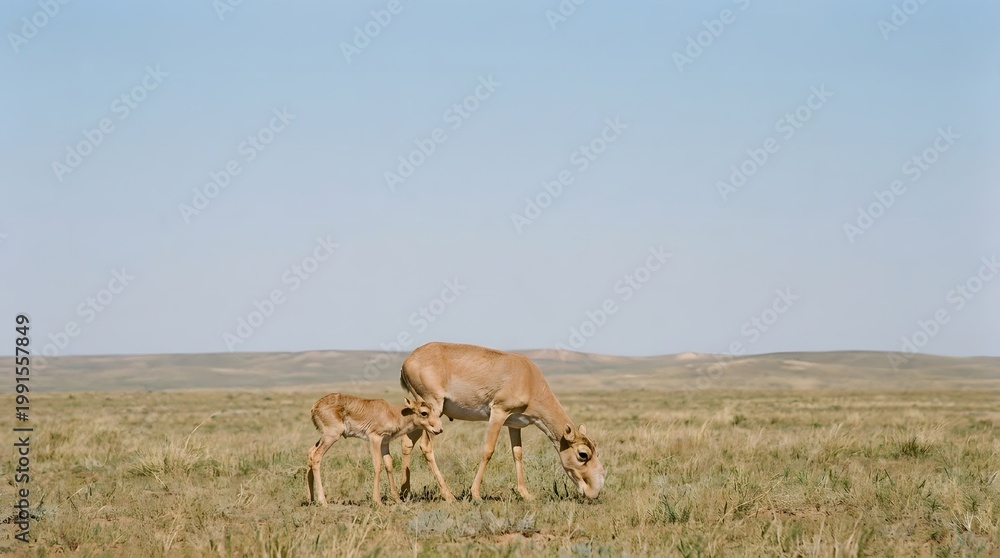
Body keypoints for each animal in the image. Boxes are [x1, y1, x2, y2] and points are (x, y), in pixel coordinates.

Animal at [306, 393, 442, 505]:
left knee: (311, 452)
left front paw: (397, 499)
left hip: (325, 437)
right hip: (331, 436)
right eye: (424, 413)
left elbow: (389, 465)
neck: (393, 413)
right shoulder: (375, 439)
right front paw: (377, 501)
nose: (439, 430)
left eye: (434, 411)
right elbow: (377, 466)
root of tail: (315, 406)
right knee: (317, 456)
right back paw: (323, 501)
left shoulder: (385, 443)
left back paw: (310, 499)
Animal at [399, 342, 606, 501]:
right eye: (583, 454)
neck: (529, 378)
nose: (595, 491)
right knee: (425, 446)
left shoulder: (514, 424)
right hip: (434, 411)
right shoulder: (498, 412)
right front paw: (476, 494)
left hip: (422, 417)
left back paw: (404, 493)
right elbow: (488, 450)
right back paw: (448, 495)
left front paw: (526, 494)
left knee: (407, 442)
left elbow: (517, 453)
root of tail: (408, 361)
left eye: (596, 449)